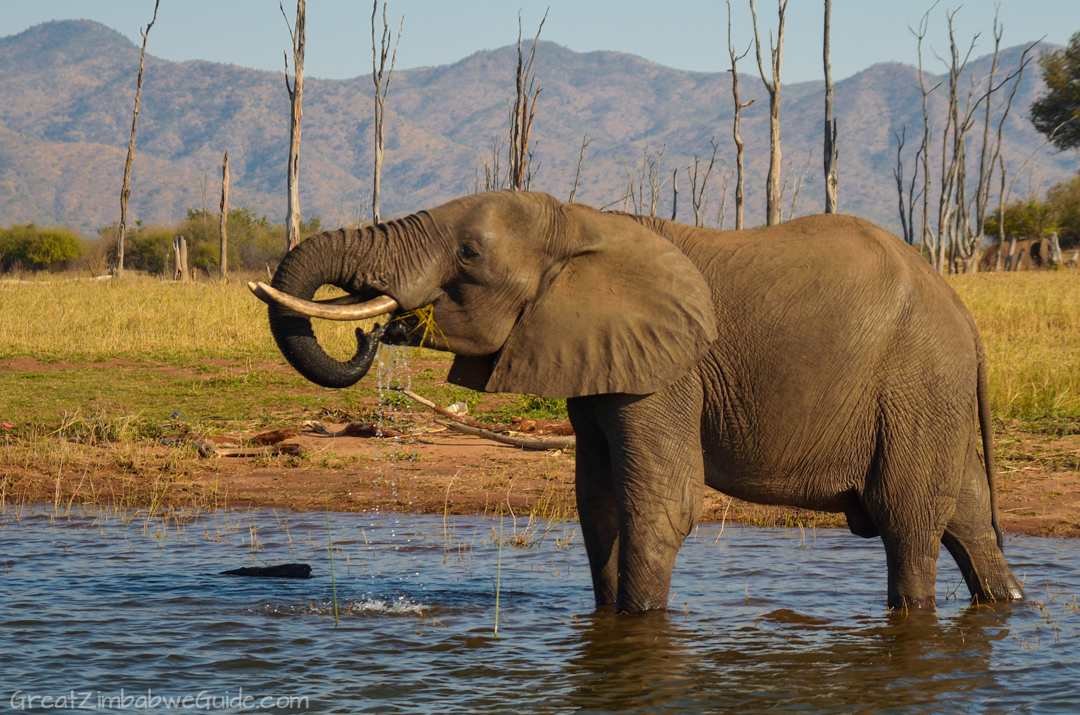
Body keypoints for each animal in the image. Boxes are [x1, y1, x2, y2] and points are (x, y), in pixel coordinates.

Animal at [250, 190, 1019, 617]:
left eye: (467, 254)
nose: (373, 331)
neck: (580, 222)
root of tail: (967, 318)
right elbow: (598, 501)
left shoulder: (670, 369)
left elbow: (663, 503)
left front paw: (643, 620)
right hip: (932, 394)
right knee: (966, 515)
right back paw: (1006, 605)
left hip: (918, 382)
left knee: (907, 520)